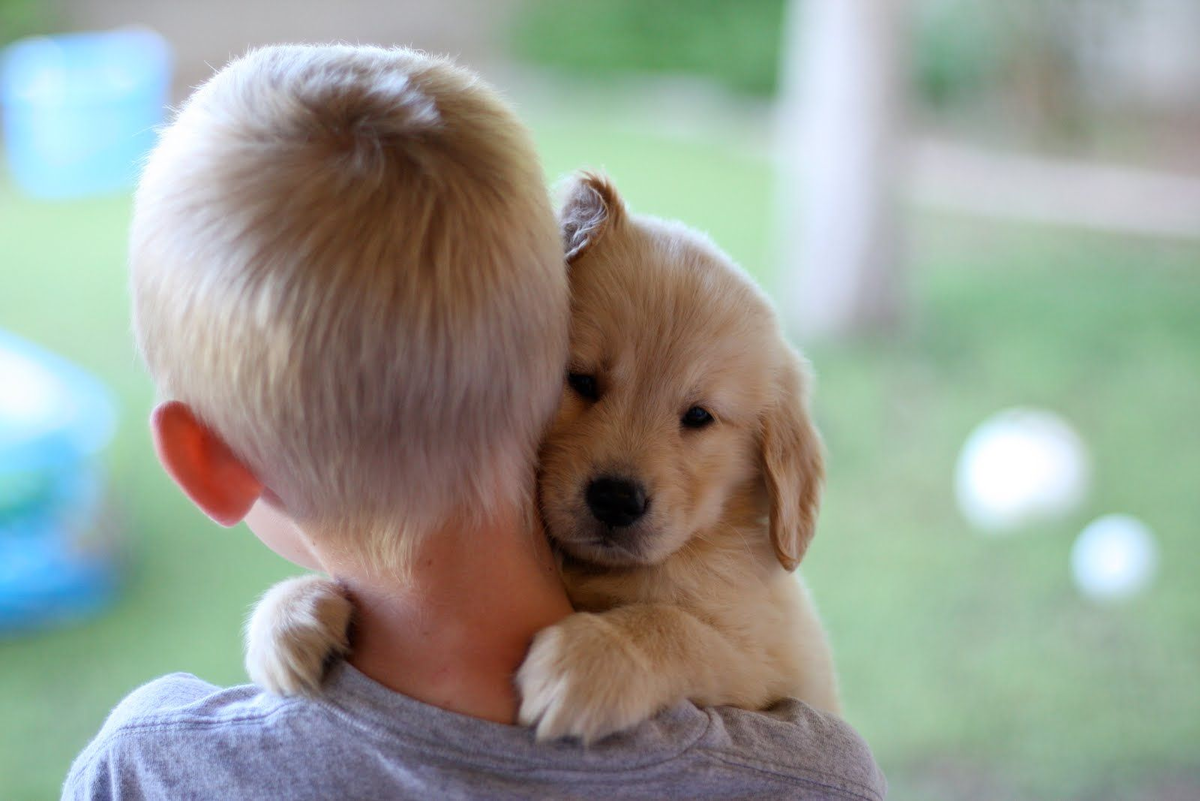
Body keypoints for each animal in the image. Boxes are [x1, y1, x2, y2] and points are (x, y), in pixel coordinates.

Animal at [246, 172, 835, 743]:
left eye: (698, 416)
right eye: (581, 381)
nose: (616, 500)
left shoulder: (772, 659)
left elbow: (679, 629)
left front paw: (593, 659)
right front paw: (290, 613)